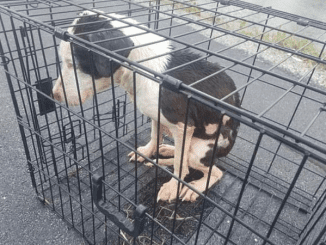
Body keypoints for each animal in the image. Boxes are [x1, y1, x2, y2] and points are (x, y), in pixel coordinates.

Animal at [53, 10, 241, 202]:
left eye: (73, 64)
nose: (55, 94)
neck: (141, 67)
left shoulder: (183, 126)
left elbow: (180, 164)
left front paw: (172, 188)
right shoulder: (156, 116)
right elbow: (155, 137)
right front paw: (146, 153)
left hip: (201, 150)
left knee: (211, 170)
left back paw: (194, 188)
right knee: (185, 157)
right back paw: (165, 152)